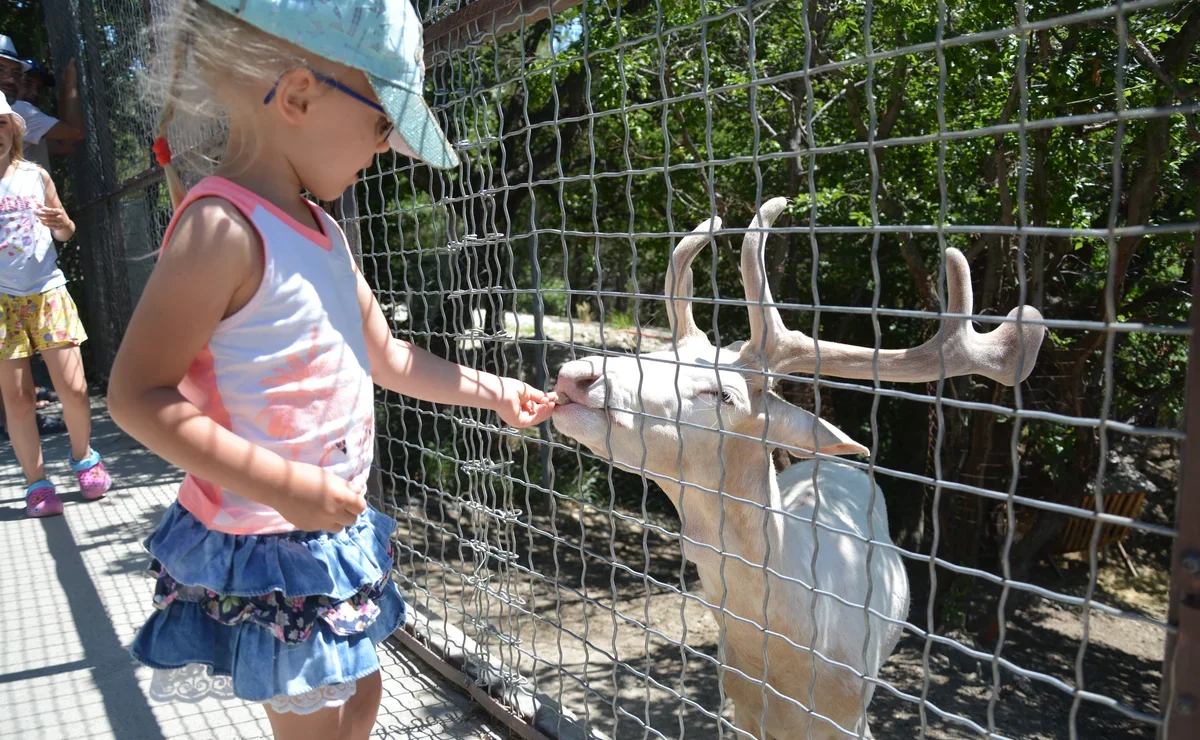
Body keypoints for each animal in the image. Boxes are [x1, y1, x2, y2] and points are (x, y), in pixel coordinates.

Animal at [549, 197, 1041, 738]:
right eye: (654, 353)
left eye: (723, 394)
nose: (576, 376)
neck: (792, 665)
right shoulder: (741, 708)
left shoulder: (852, 717)